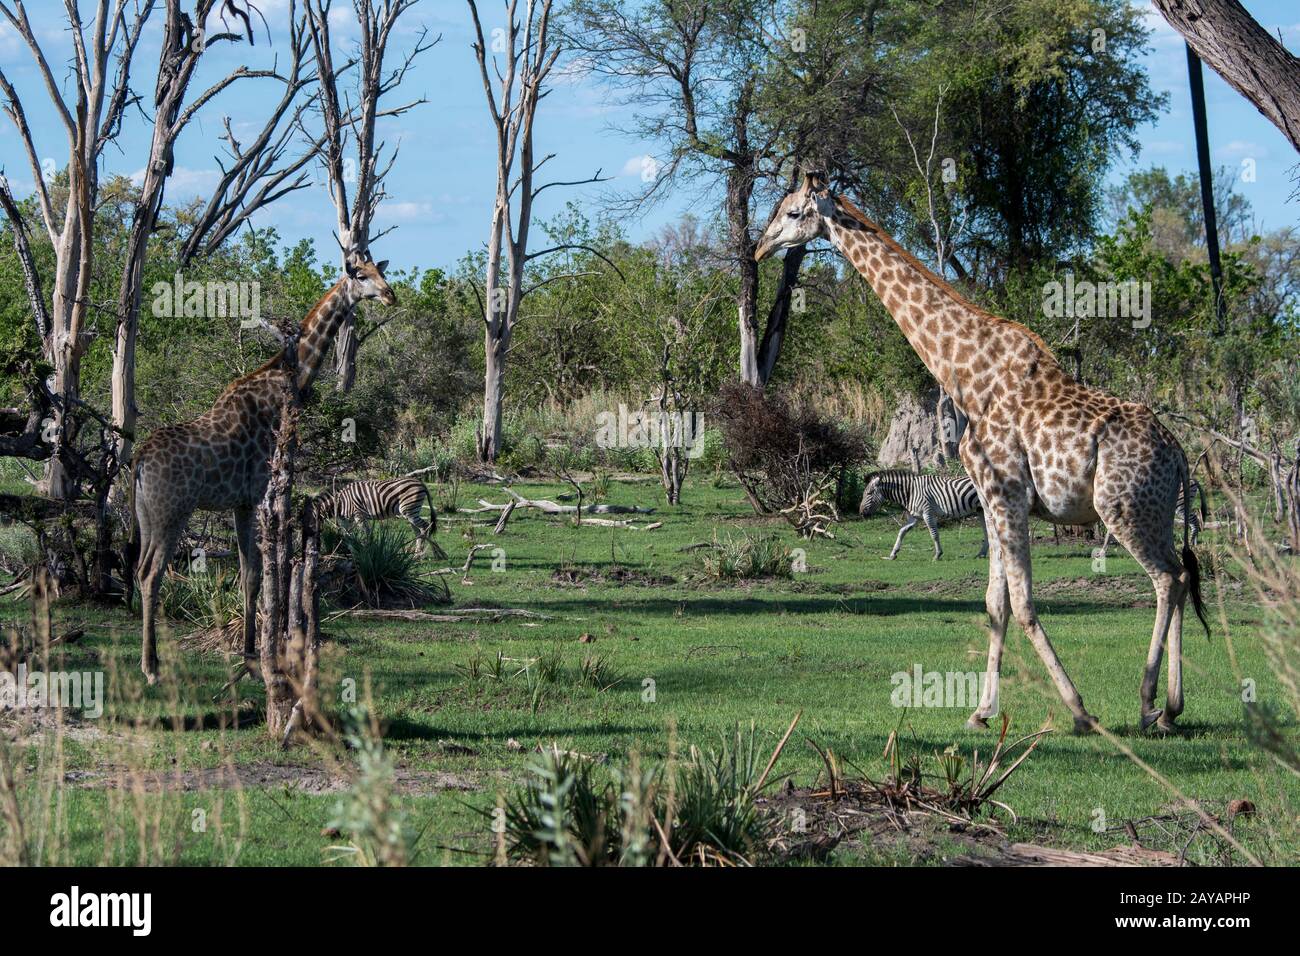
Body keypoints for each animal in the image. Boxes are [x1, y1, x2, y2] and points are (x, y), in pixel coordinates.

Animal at [128, 259, 396, 683]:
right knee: (153, 575)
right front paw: (252, 663)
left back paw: (148, 662)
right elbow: (255, 575)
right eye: (361, 275)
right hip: (173, 512)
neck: (286, 380)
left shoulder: (241, 501)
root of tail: (138, 461)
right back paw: (152, 668)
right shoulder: (258, 494)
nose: (389, 294)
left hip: (147, 515)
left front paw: (250, 657)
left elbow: (246, 575)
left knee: (140, 571)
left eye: (380, 269)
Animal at [756, 172, 1208, 734]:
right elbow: (996, 602)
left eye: (793, 212)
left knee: (1167, 578)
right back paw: (1170, 708)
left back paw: (1148, 702)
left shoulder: (1006, 492)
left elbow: (1025, 603)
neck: (967, 376)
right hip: (1156, 511)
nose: (760, 247)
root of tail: (1179, 453)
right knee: (1184, 574)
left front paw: (1080, 712)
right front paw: (981, 711)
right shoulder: (992, 500)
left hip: (1121, 507)